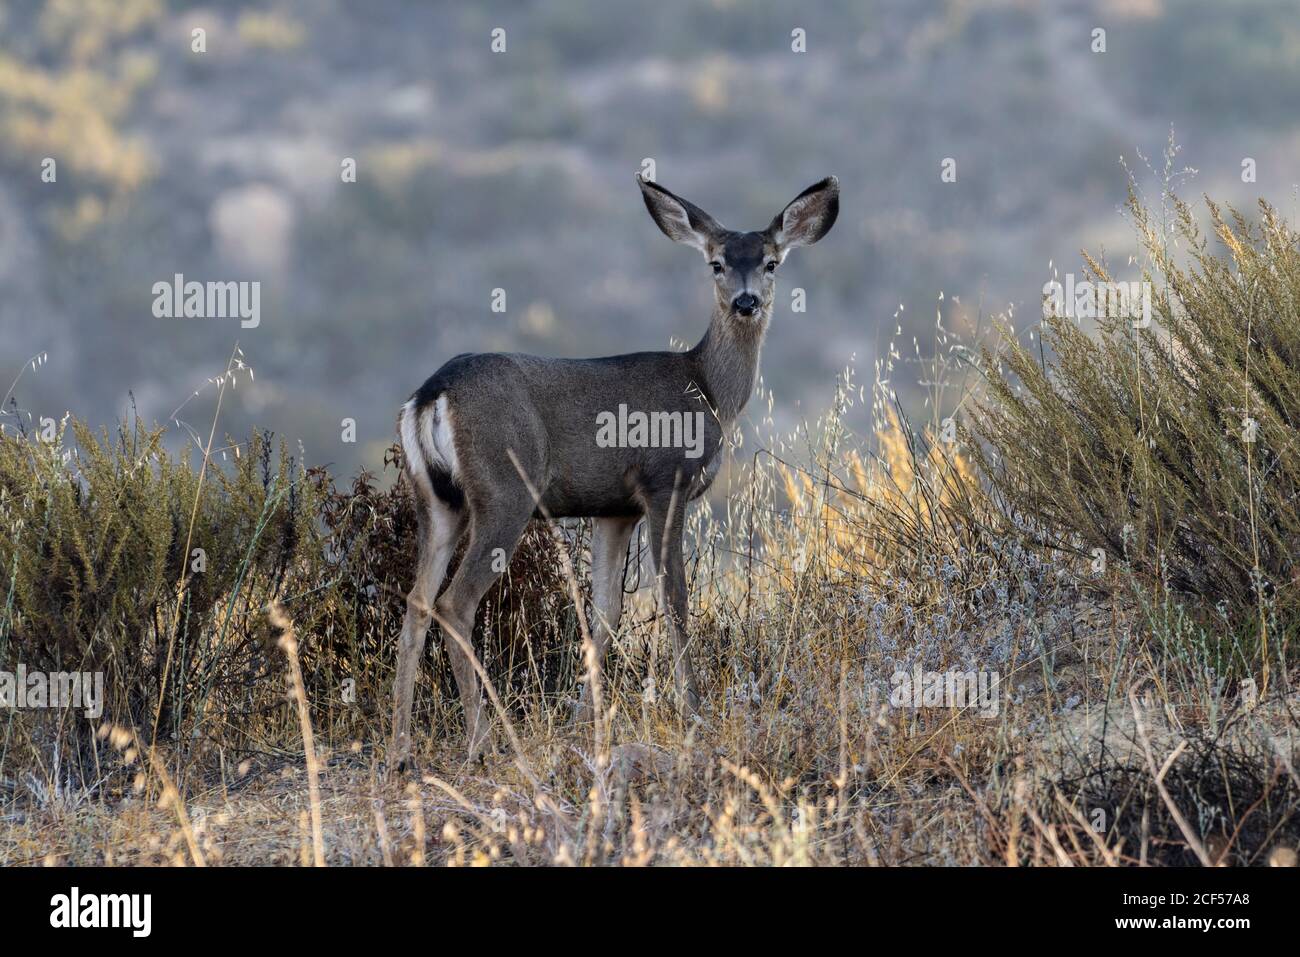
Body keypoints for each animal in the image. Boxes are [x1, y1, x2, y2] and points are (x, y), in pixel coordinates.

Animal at [390, 174, 837, 769]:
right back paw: (486, 741)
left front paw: (583, 719)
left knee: (416, 603)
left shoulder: (614, 509)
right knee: (453, 603)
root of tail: (430, 394)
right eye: (716, 263)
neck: (708, 391)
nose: (746, 301)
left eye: (770, 262)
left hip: (437, 500)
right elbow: (675, 597)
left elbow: (605, 610)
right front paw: (693, 708)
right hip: (505, 492)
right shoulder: (664, 481)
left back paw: (400, 749)